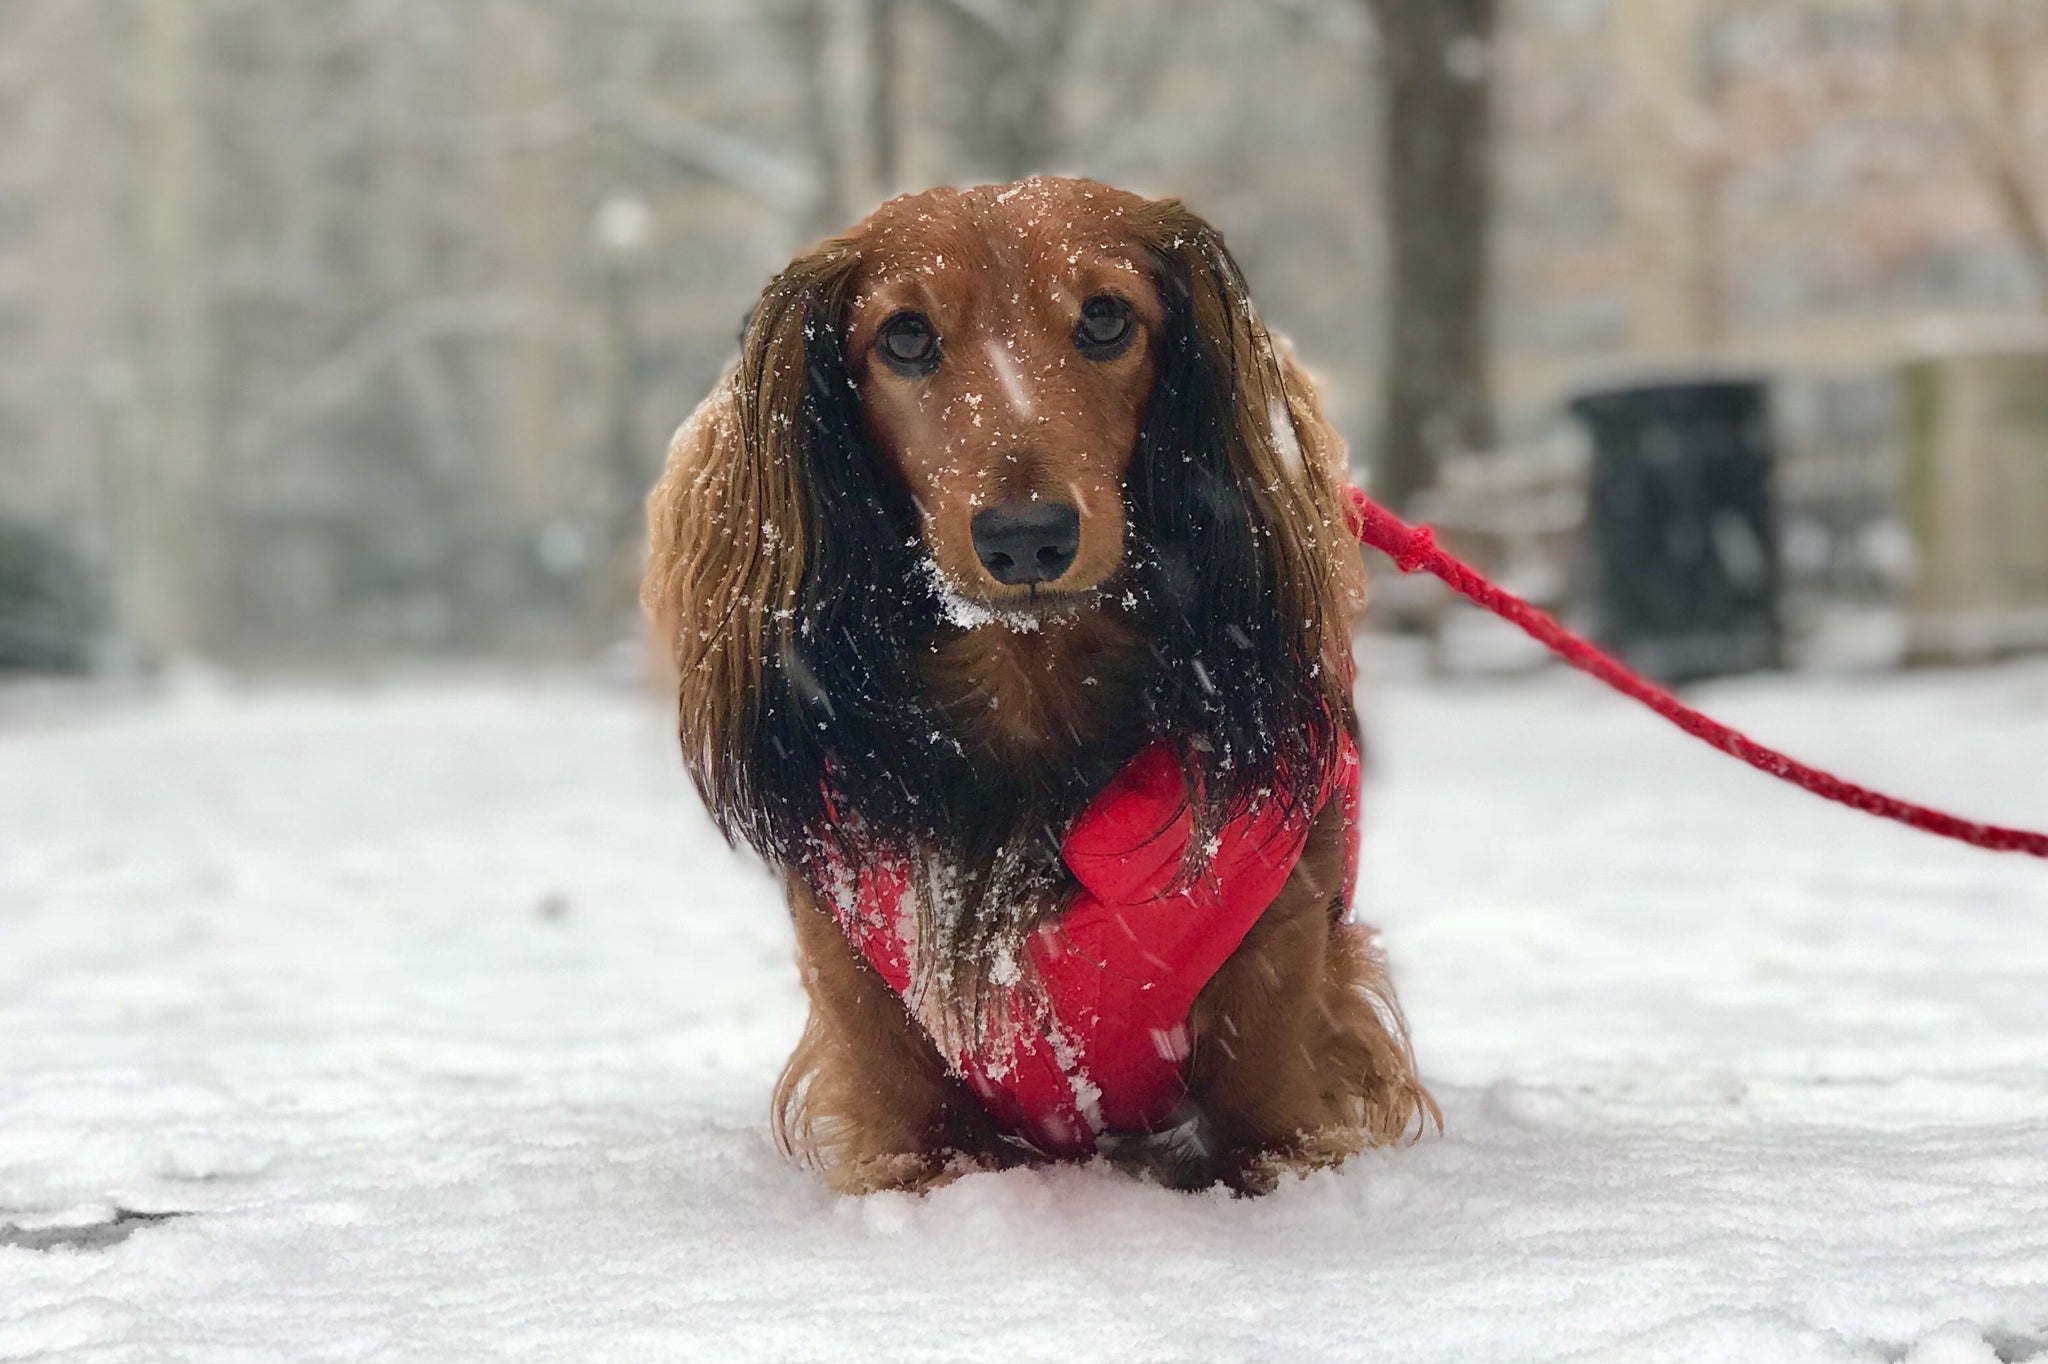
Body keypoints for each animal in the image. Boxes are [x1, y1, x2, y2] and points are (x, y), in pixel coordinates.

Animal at [647, 175, 1433, 1187]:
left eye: (1104, 316)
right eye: (905, 335)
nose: (1027, 538)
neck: (1028, 696)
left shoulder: (1286, 1040)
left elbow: (1271, 1113)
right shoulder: (890, 1085)